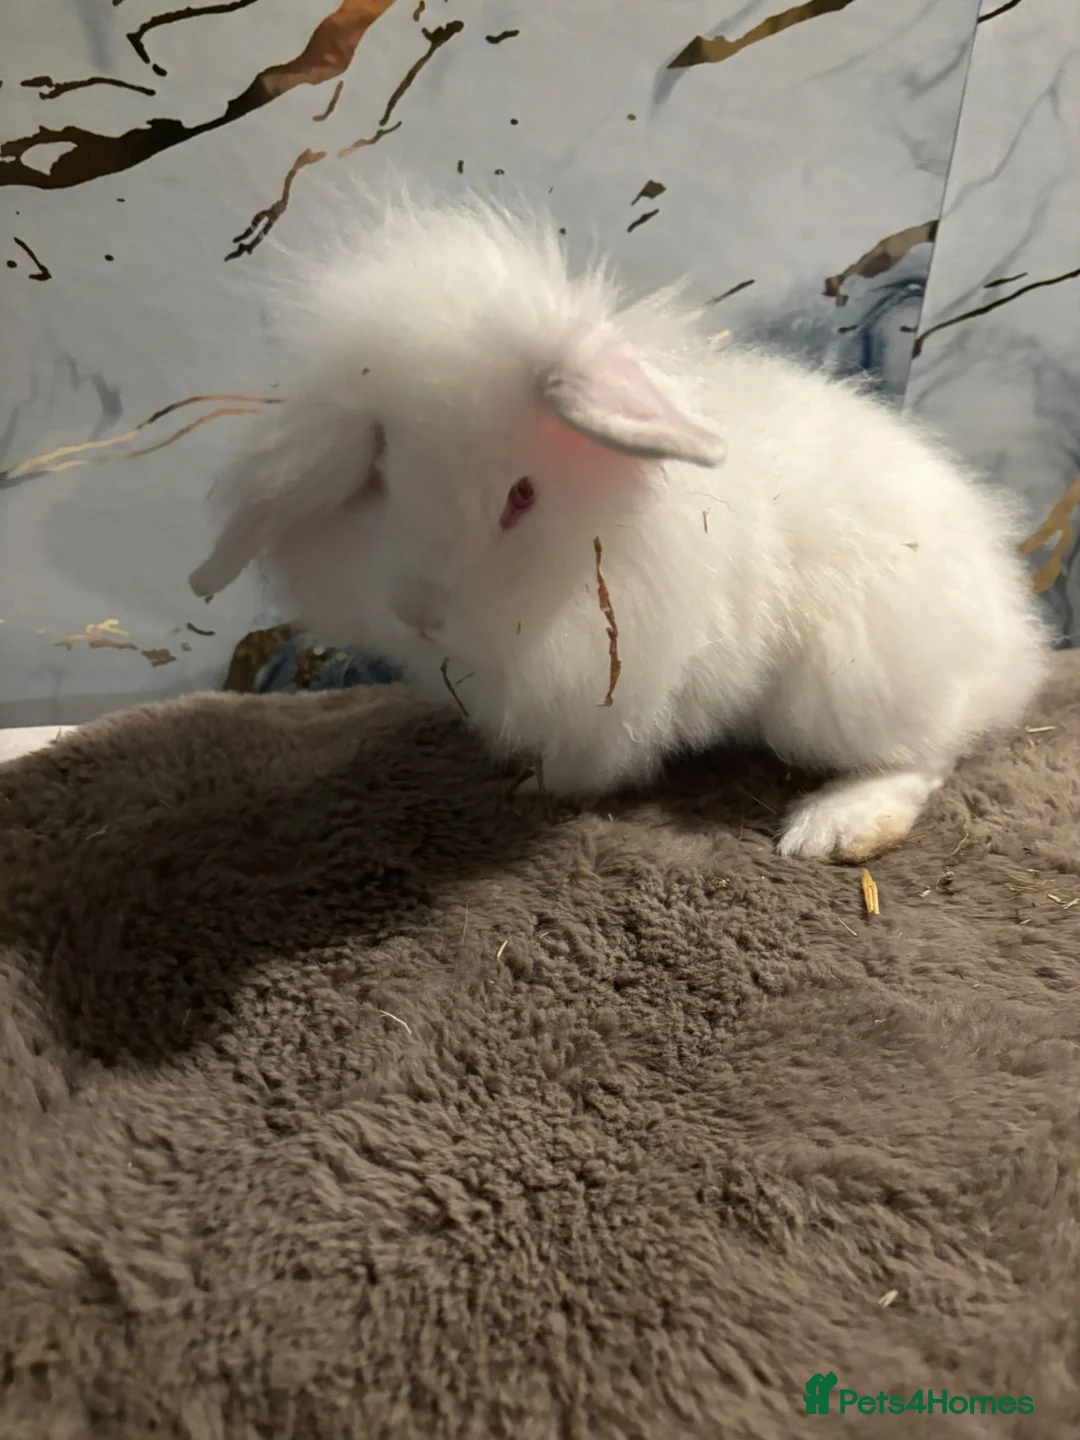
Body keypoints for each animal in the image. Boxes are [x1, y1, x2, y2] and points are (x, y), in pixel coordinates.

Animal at [189, 191, 1049, 862]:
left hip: (848, 683)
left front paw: (538, 787)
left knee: (927, 754)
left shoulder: (623, 688)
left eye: (521, 495)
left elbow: (596, 757)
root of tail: (1010, 638)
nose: (418, 612)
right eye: (381, 473)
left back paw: (835, 829)